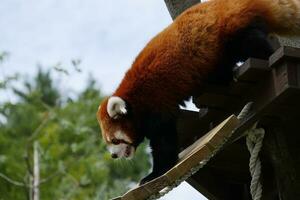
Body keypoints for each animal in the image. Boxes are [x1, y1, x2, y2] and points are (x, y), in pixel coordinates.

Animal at [97, 0, 300, 184]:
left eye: (115, 141)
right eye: (110, 142)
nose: (113, 156)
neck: (134, 99)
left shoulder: (157, 101)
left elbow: (164, 141)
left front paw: (155, 173)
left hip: (234, 30)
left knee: (253, 44)